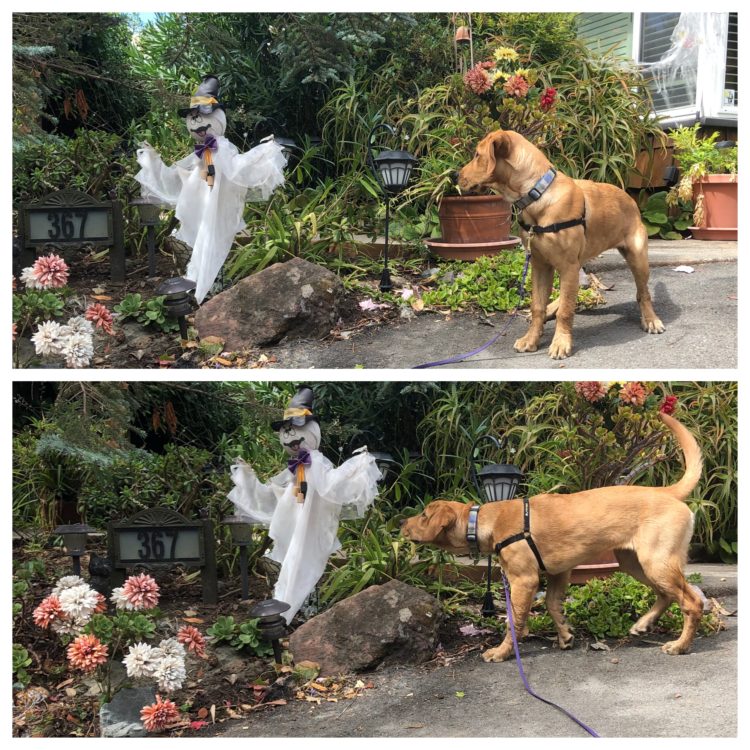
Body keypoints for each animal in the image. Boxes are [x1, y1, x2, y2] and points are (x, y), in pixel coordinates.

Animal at [406, 414, 704, 668]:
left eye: (423, 515)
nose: (400, 524)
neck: (485, 519)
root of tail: (666, 492)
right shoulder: (559, 572)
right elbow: (551, 605)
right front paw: (565, 635)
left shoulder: (524, 580)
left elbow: (514, 621)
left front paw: (502, 652)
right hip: (634, 562)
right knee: (666, 594)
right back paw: (644, 624)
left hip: (656, 562)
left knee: (692, 602)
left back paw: (680, 645)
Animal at [458, 130, 664, 362]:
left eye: (477, 155)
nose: (455, 176)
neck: (537, 194)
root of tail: (631, 199)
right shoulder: (540, 264)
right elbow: (538, 305)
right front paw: (531, 338)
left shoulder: (567, 266)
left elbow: (566, 310)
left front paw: (560, 343)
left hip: (637, 257)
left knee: (643, 292)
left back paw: (651, 320)